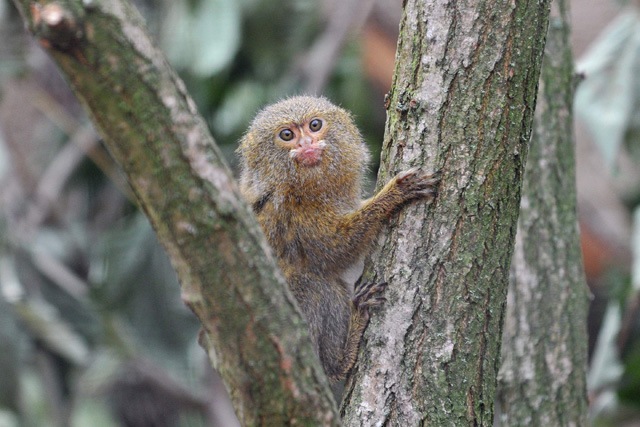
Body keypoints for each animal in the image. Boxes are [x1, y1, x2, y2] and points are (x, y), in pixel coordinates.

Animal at [237, 95, 439, 382]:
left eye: (315, 125)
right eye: (287, 135)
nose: (306, 144)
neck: (302, 188)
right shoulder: (296, 214)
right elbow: (337, 250)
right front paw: (394, 194)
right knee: (315, 285)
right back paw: (343, 354)